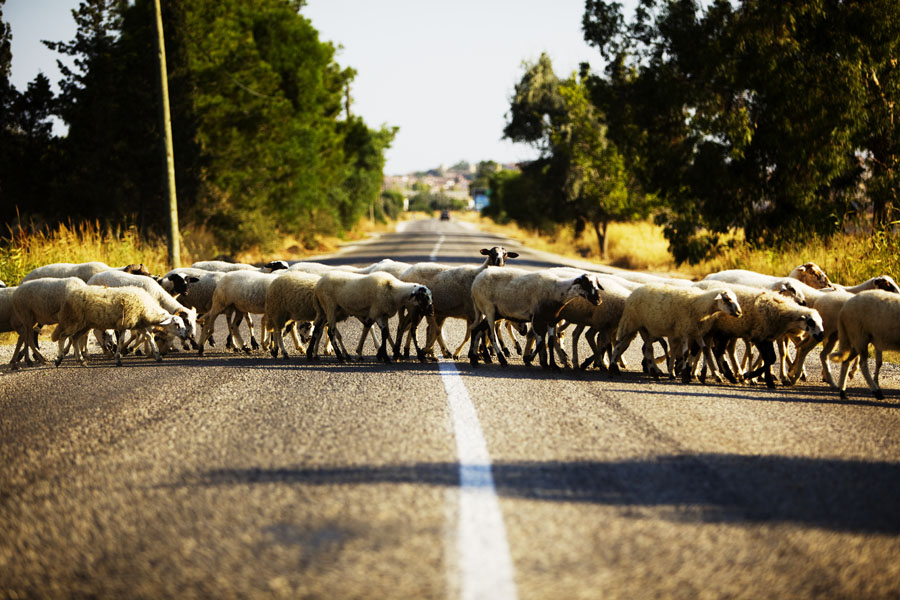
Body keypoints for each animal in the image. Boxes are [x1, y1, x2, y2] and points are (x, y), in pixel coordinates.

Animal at [52, 285, 188, 366]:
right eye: (176, 324)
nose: (186, 336)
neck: (147, 309)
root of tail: (69, 296)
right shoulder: (125, 324)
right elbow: (121, 340)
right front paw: (118, 358)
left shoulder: (138, 324)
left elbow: (149, 337)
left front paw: (158, 356)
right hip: (74, 321)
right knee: (63, 337)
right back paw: (59, 359)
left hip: (84, 324)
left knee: (74, 338)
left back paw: (81, 360)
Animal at [468, 267, 603, 369]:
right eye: (585, 283)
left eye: (597, 284)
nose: (598, 300)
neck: (557, 291)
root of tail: (475, 282)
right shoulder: (537, 319)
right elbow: (540, 343)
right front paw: (530, 359)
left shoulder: (551, 319)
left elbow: (550, 342)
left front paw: (553, 365)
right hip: (489, 309)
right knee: (491, 335)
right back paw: (502, 360)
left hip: (495, 312)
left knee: (476, 329)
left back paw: (474, 359)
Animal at [608, 284, 743, 382]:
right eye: (728, 299)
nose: (739, 313)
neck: (700, 305)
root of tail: (633, 293)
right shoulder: (684, 331)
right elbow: (685, 353)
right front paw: (685, 376)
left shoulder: (696, 332)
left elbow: (704, 349)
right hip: (630, 323)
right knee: (619, 344)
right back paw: (613, 368)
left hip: (645, 328)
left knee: (647, 349)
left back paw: (654, 372)